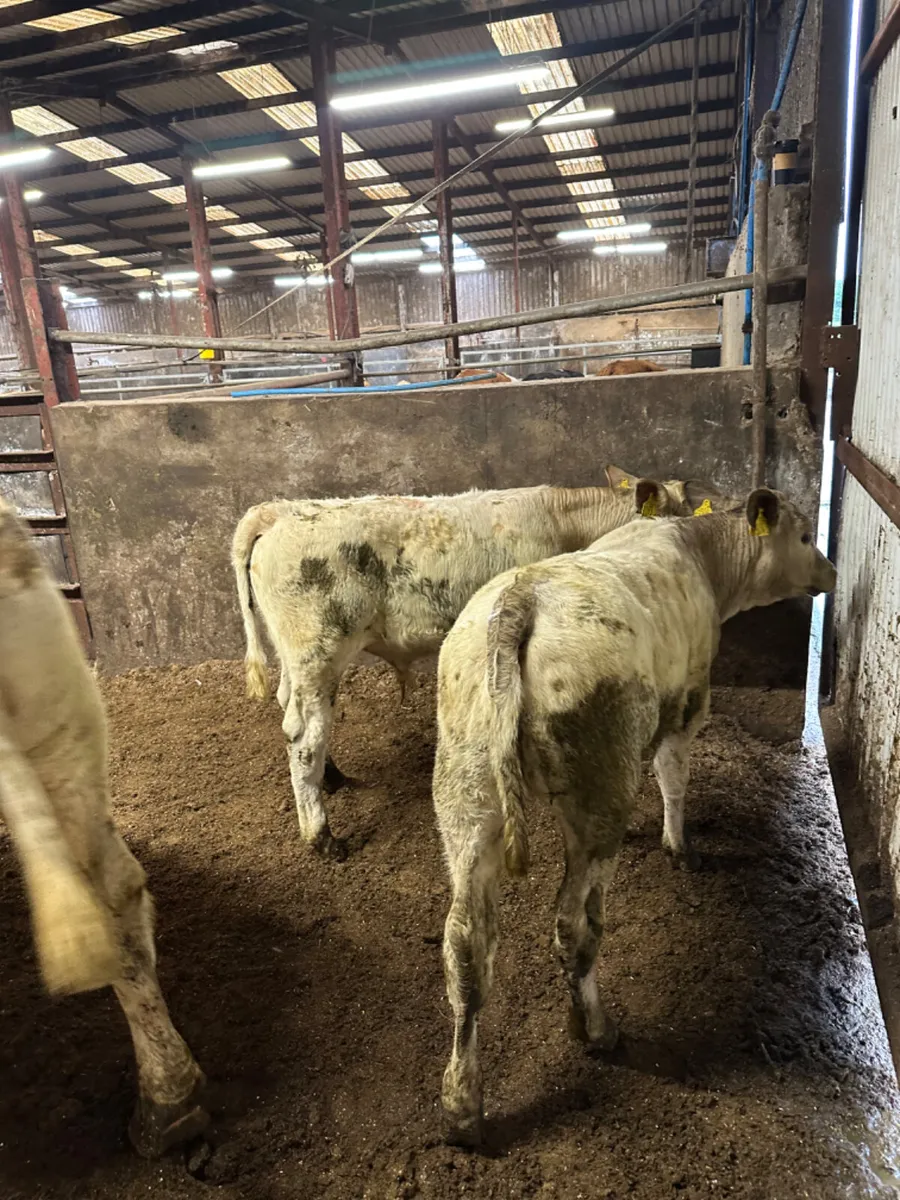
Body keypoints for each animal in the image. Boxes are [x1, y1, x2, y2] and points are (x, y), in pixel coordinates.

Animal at [232, 468, 734, 859]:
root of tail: (279, 511)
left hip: (296, 659)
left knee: (291, 709)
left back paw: (331, 778)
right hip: (318, 651)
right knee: (304, 737)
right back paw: (322, 835)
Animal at [432, 484, 836, 1146]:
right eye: (805, 537)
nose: (829, 573)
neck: (699, 551)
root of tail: (523, 599)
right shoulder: (690, 697)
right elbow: (673, 776)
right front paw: (680, 845)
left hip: (466, 792)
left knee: (466, 946)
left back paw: (463, 1107)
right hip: (596, 794)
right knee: (574, 924)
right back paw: (596, 1030)